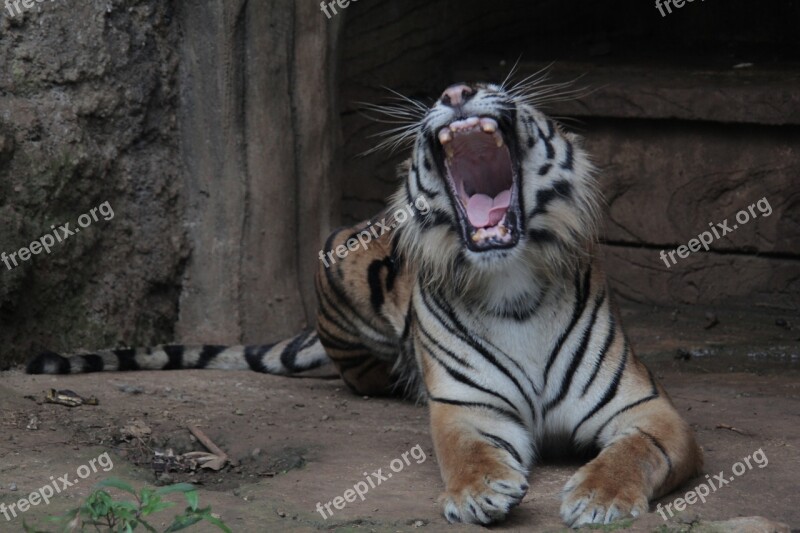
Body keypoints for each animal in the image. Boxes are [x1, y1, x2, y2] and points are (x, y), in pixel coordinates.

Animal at [26, 76, 700, 528]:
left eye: (490, 86)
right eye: (455, 90)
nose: (457, 91)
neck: (511, 282)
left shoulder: (648, 409)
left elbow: (633, 451)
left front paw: (599, 498)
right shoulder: (467, 409)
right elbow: (469, 453)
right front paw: (478, 493)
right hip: (338, 261)